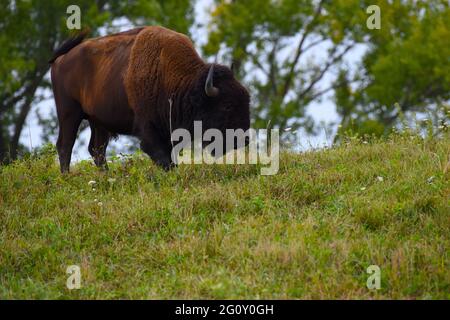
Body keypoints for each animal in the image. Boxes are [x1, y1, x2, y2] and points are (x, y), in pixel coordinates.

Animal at [51, 26, 253, 172]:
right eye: (227, 106)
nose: (243, 139)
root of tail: (61, 59)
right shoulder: (148, 131)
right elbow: (162, 157)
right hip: (69, 114)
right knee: (65, 145)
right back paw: (67, 177)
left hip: (98, 122)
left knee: (97, 149)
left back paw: (106, 176)